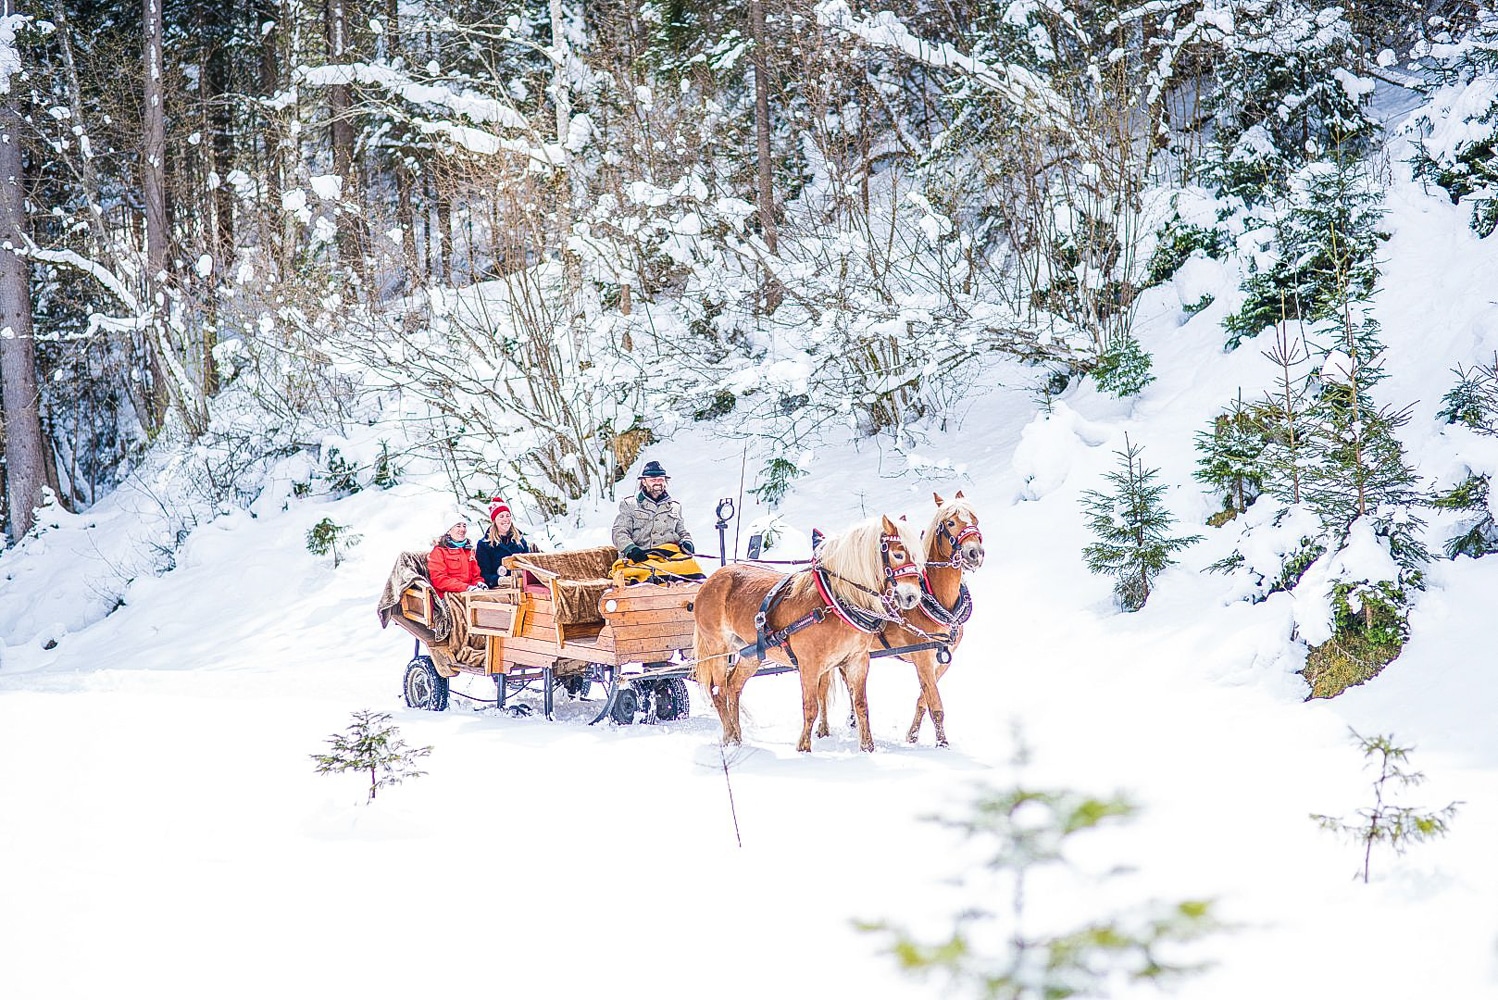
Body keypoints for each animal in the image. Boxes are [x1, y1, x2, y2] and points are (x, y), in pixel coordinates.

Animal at [692, 514, 922, 748]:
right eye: (898, 554)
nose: (913, 597)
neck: (834, 601)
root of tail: (712, 578)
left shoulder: (858, 660)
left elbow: (861, 704)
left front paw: (867, 747)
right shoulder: (809, 664)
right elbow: (811, 707)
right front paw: (803, 747)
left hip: (752, 653)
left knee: (733, 687)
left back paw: (737, 736)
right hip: (718, 647)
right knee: (718, 691)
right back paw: (729, 735)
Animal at [820, 488, 982, 745]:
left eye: (975, 519)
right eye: (950, 522)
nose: (975, 553)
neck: (935, 596)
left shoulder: (942, 660)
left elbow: (924, 699)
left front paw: (912, 736)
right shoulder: (923, 657)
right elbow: (935, 703)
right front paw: (942, 744)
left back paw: (853, 720)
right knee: (823, 686)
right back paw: (823, 729)